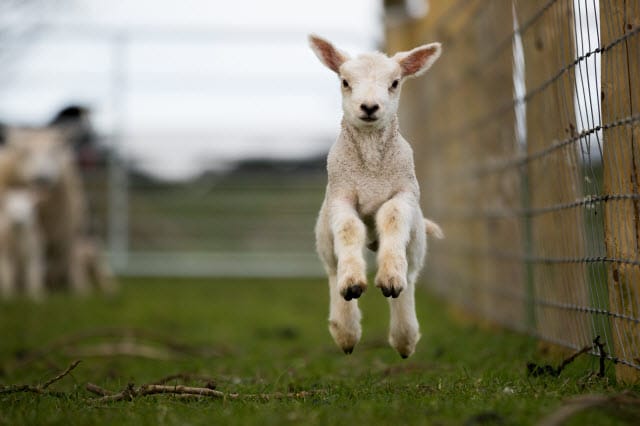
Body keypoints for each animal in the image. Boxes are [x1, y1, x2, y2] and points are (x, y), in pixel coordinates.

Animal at [312, 35, 442, 358]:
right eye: (345, 81)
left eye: (395, 82)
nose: (369, 107)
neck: (371, 171)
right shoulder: (340, 194)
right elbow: (349, 228)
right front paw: (353, 283)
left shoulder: (405, 192)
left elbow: (391, 217)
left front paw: (389, 277)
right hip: (323, 235)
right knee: (332, 270)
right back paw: (346, 331)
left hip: (417, 238)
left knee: (410, 278)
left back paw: (404, 336)